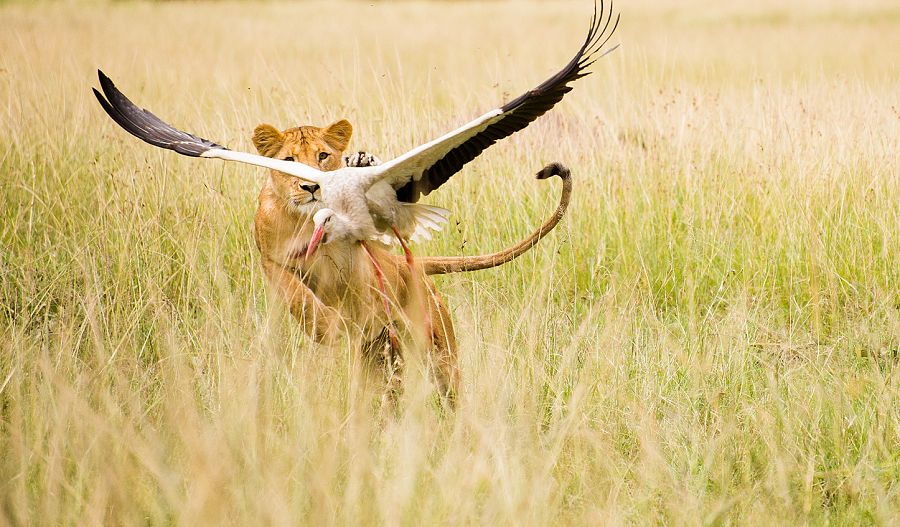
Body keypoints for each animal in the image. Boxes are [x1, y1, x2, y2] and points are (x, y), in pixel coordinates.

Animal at [248, 120, 568, 400]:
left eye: (323, 155)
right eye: (288, 159)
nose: (310, 188)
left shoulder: (362, 256)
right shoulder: (271, 261)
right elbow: (295, 294)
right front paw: (324, 327)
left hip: (442, 359)